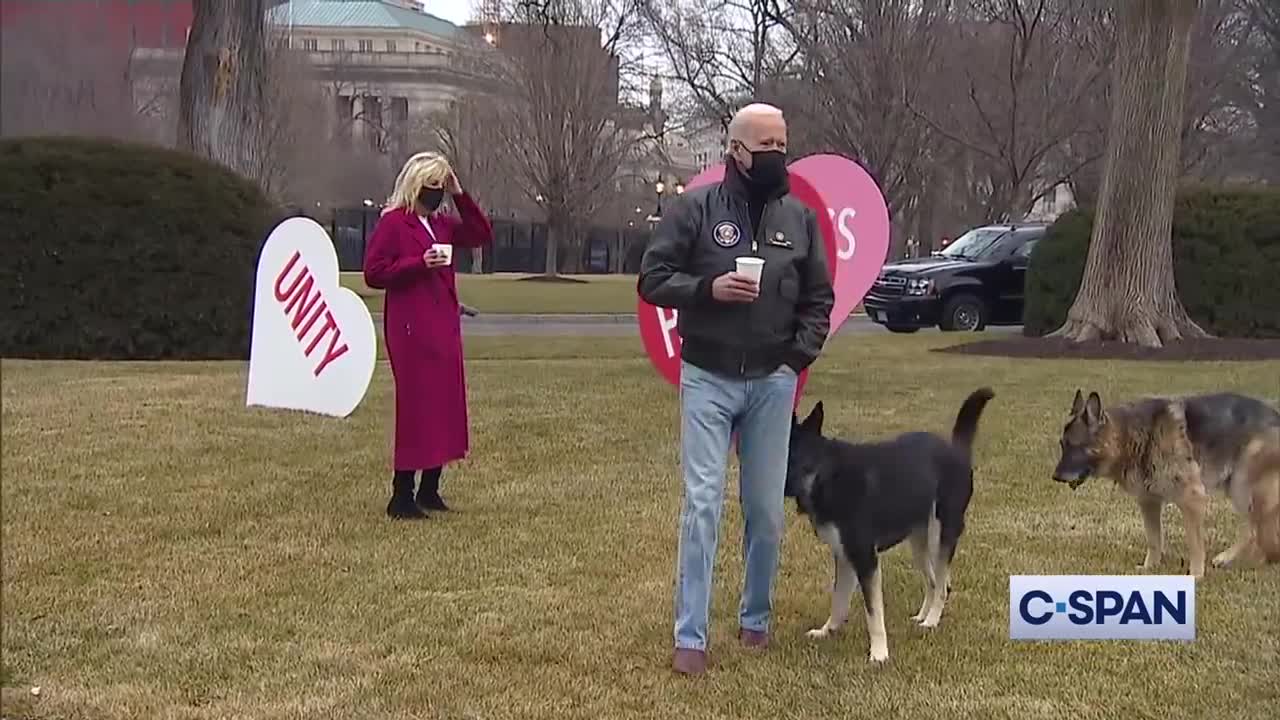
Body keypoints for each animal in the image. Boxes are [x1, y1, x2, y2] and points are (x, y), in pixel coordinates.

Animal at [783, 386, 993, 661]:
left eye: (793, 456)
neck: (826, 473)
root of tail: (957, 450)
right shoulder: (845, 555)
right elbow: (838, 600)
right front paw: (827, 631)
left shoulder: (866, 559)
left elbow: (873, 613)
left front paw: (879, 653)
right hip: (919, 543)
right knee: (934, 581)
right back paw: (922, 616)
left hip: (941, 535)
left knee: (942, 586)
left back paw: (932, 621)